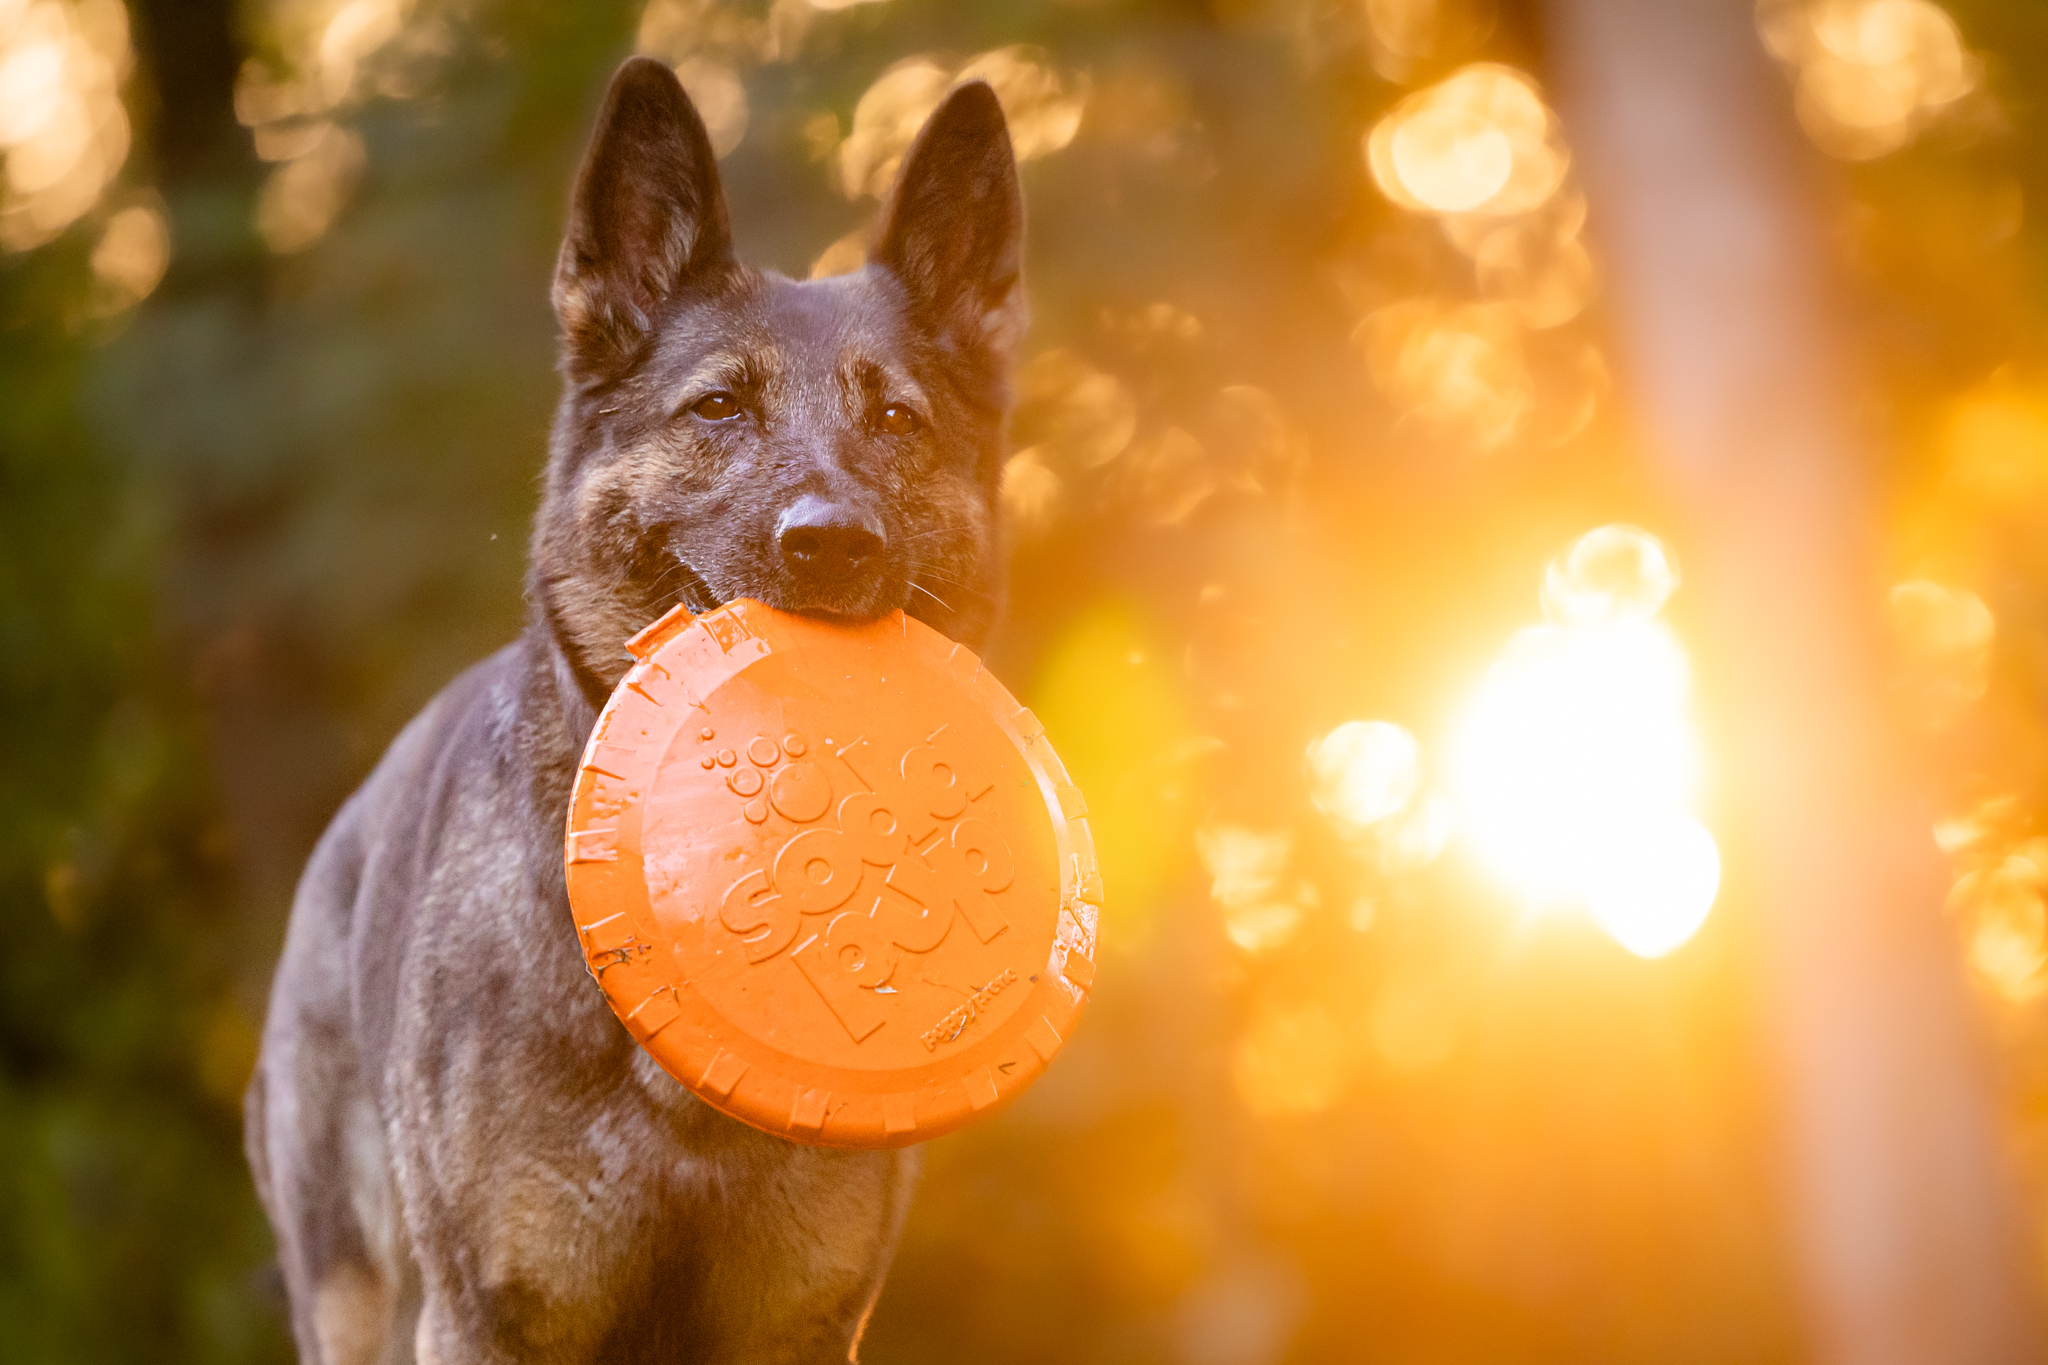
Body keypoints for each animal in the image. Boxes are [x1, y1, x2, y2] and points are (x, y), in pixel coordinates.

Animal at [247, 56, 1032, 1365]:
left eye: (895, 421)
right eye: (716, 410)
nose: (830, 544)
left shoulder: (802, 1321)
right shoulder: (488, 1319)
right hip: (354, 1295)